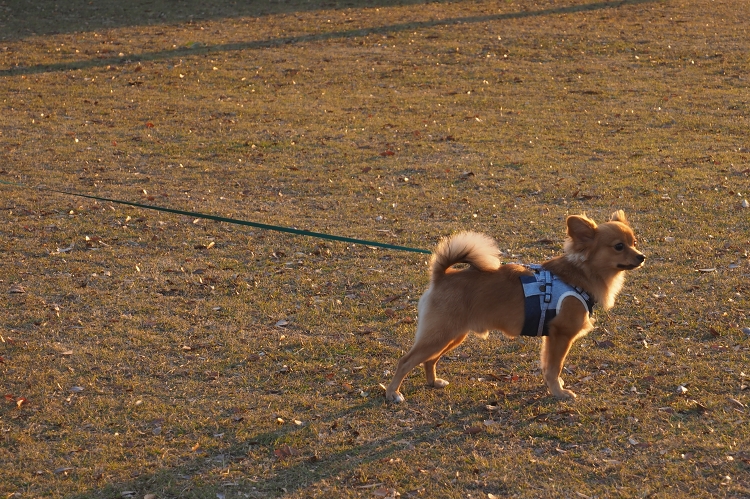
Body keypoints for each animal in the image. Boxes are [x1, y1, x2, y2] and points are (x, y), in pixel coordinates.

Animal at [388, 210, 648, 402]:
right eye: (618, 246)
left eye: (634, 243)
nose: (641, 256)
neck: (580, 275)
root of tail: (442, 276)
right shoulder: (561, 335)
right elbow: (554, 367)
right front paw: (559, 392)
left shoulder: (551, 337)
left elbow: (549, 366)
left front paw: (556, 386)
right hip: (440, 335)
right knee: (406, 361)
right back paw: (393, 393)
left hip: (452, 335)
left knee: (429, 360)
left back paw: (433, 382)